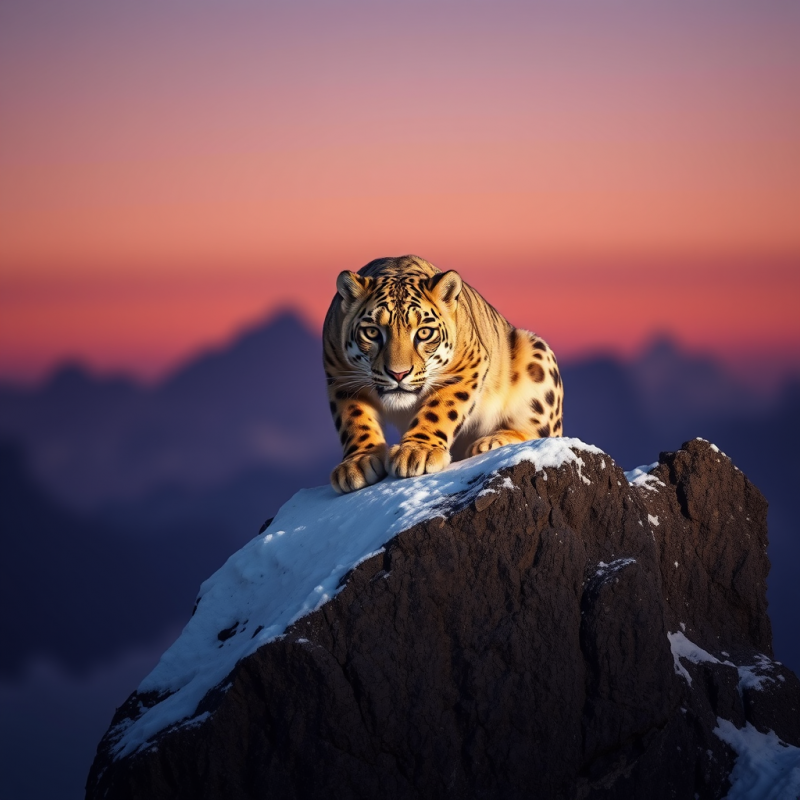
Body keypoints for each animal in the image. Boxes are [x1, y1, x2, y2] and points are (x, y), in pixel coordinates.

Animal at [323, 255, 563, 493]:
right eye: (372, 332)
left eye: (424, 332)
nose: (398, 374)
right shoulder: (341, 378)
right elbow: (354, 420)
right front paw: (358, 464)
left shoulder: (466, 368)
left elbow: (439, 409)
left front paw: (416, 452)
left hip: (536, 358)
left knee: (541, 434)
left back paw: (490, 442)